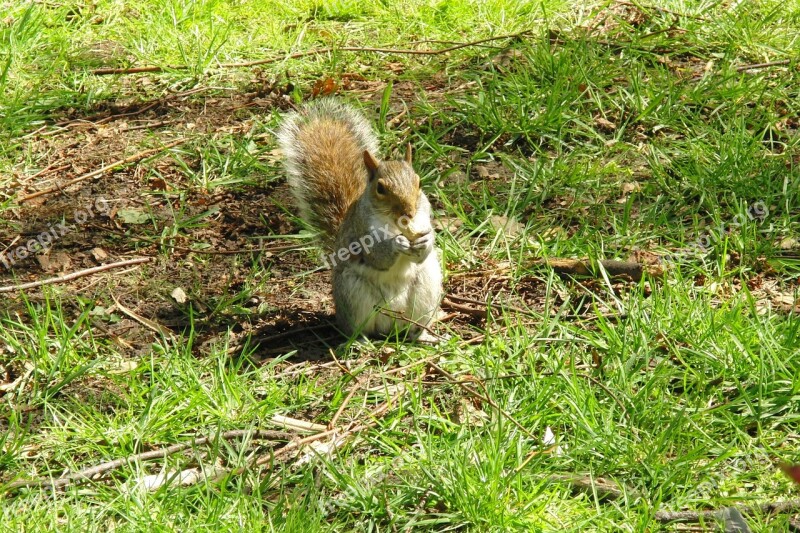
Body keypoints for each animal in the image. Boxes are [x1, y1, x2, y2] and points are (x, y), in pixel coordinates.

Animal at [278, 98, 444, 340]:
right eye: (380, 189)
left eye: (419, 182)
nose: (408, 212)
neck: (395, 223)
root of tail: (391, 328)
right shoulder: (362, 228)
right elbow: (376, 256)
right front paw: (396, 243)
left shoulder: (424, 215)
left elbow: (423, 250)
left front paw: (425, 241)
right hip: (352, 292)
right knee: (356, 329)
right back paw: (360, 341)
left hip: (427, 286)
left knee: (416, 323)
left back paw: (422, 336)